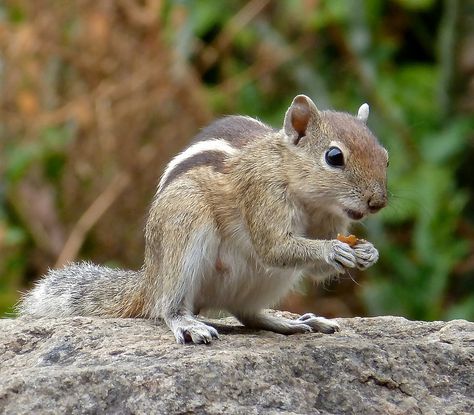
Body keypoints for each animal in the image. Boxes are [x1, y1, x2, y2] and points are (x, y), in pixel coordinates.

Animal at [18, 94, 388, 344]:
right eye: (334, 156)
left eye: (384, 156)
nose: (378, 202)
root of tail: (149, 277)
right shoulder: (261, 195)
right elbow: (273, 247)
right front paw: (332, 250)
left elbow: (315, 269)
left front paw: (368, 252)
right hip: (185, 226)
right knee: (167, 307)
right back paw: (187, 324)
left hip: (268, 281)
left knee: (247, 314)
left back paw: (294, 323)